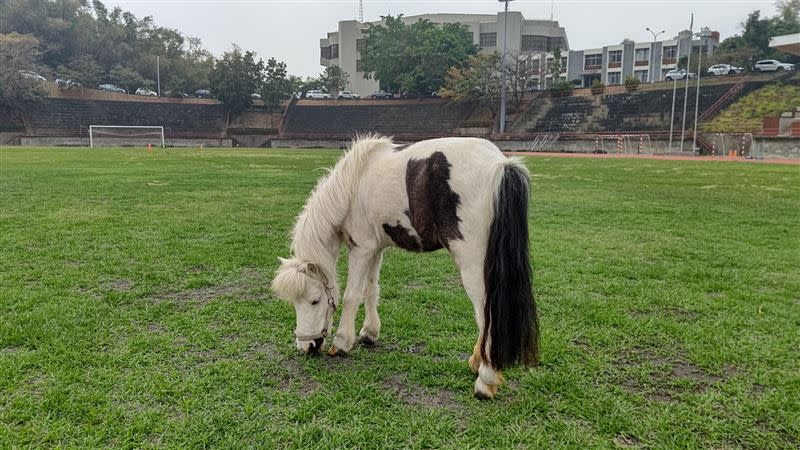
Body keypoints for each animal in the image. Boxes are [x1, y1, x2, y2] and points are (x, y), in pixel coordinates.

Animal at [272, 135, 540, 400]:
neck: (353, 185)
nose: (305, 346)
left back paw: (485, 380)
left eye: (314, 300)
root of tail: (502, 165)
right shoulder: (375, 248)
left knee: (486, 315)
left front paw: (342, 342)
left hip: (474, 267)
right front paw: (369, 333)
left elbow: (351, 296)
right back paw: (477, 362)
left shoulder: (360, 249)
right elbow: (371, 290)